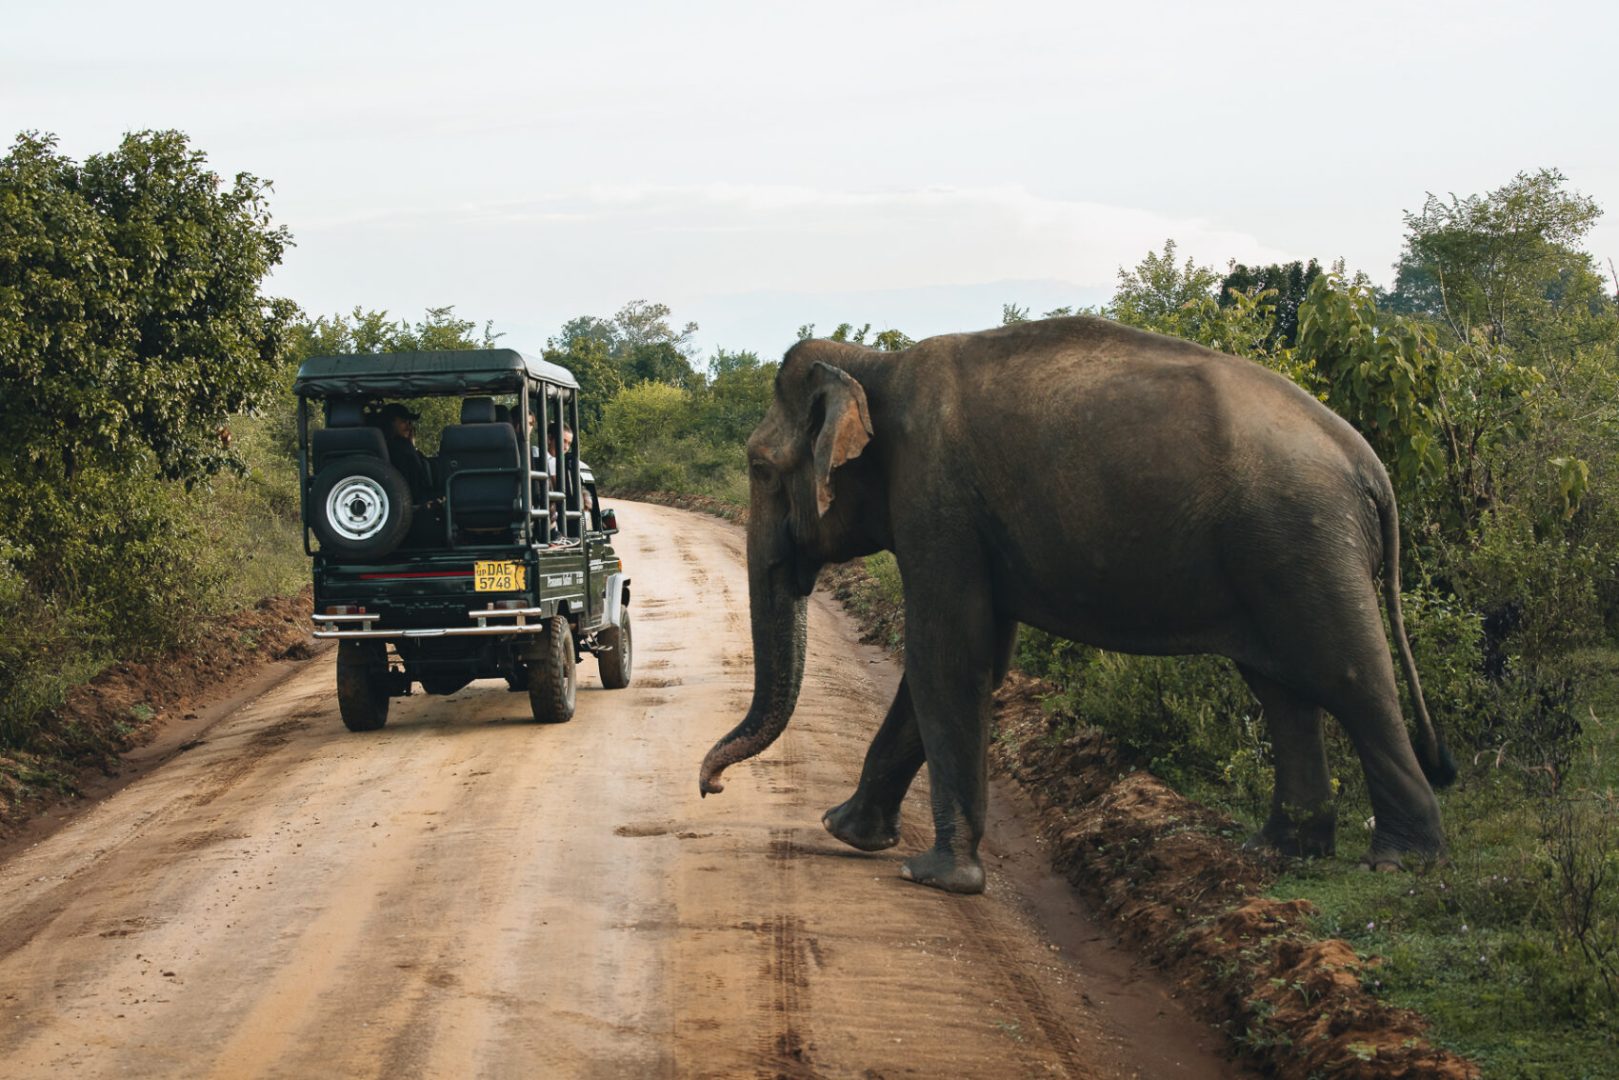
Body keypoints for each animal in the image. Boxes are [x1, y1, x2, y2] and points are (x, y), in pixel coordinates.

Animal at [696, 312, 1457, 893]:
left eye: (760, 467)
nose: (710, 788)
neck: (873, 365)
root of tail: (1370, 464)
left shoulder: (936, 500)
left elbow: (949, 654)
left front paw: (936, 877)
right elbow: (976, 656)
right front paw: (848, 833)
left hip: (1303, 539)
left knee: (1347, 674)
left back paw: (1400, 862)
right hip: (1277, 551)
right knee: (1280, 688)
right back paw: (1277, 852)